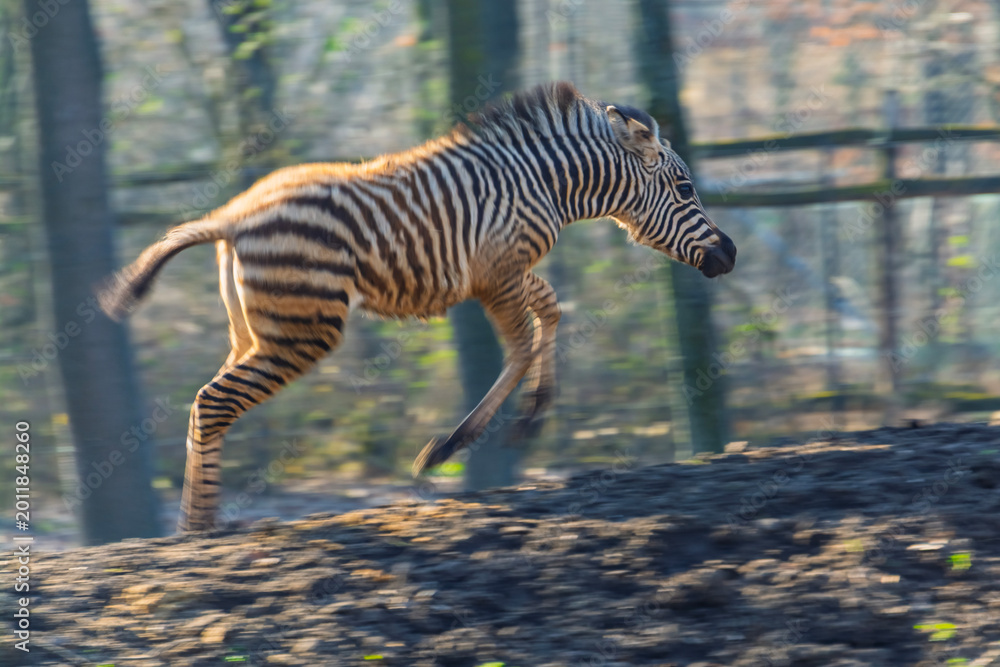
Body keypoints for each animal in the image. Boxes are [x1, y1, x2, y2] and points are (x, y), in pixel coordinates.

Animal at [99, 81, 736, 532]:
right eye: (685, 189)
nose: (729, 254)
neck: (543, 183)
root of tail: (233, 216)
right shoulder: (497, 274)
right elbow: (521, 344)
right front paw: (455, 445)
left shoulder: (502, 271)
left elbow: (551, 311)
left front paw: (533, 415)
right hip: (305, 330)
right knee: (214, 401)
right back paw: (198, 531)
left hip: (254, 332)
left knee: (208, 402)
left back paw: (194, 524)